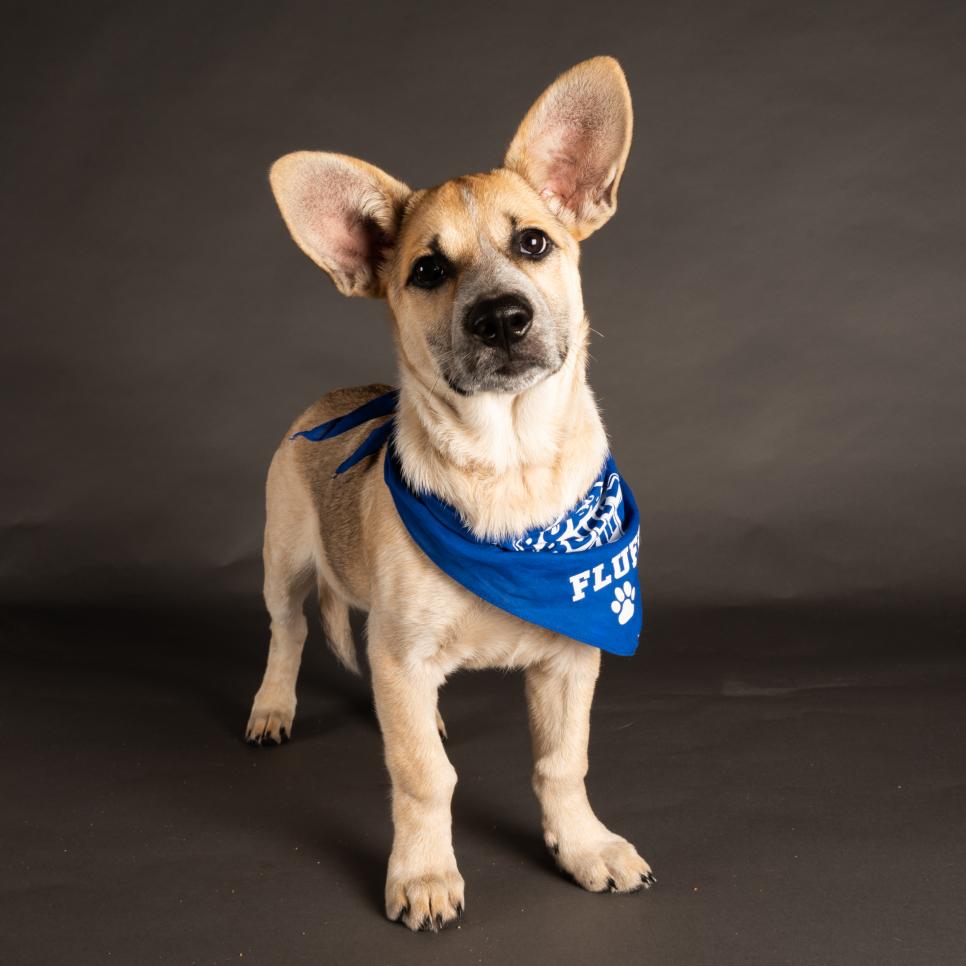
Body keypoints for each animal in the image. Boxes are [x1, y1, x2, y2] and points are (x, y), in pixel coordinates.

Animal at [248, 56, 656, 932]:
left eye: (534, 242)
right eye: (428, 271)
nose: (501, 317)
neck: (509, 468)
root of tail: (332, 398)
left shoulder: (572, 659)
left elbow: (561, 764)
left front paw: (584, 846)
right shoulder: (402, 651)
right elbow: (422, 775)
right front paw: (426, 873)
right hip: (283, 560)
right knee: (288, 635)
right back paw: (272, 706)